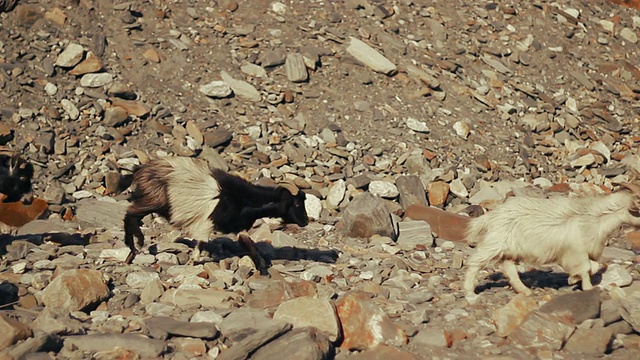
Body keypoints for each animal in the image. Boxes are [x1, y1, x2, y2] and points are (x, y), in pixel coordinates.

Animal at [123, 156, 310, 274]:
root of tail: (140, 169)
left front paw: (263, 269)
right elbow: (200, 244)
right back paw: (134, 245)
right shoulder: (207, 223)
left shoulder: (239, 226)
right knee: (130, 214)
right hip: (153, 200)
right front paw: (192, 262)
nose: (306, 221)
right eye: (296, 203)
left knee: (133, 216)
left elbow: (249, 245)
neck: (244, 198)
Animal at [462, 183, 640, 296]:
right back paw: (470, 293)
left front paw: (574, 279)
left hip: (510, 249)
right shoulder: (576, 253)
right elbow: (586, 268)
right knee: (475, 262)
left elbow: (594, 267)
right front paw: (586, 286)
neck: (594, 217)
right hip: (494, 243)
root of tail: (492, 216)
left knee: (509, 268)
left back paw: (525, 291)